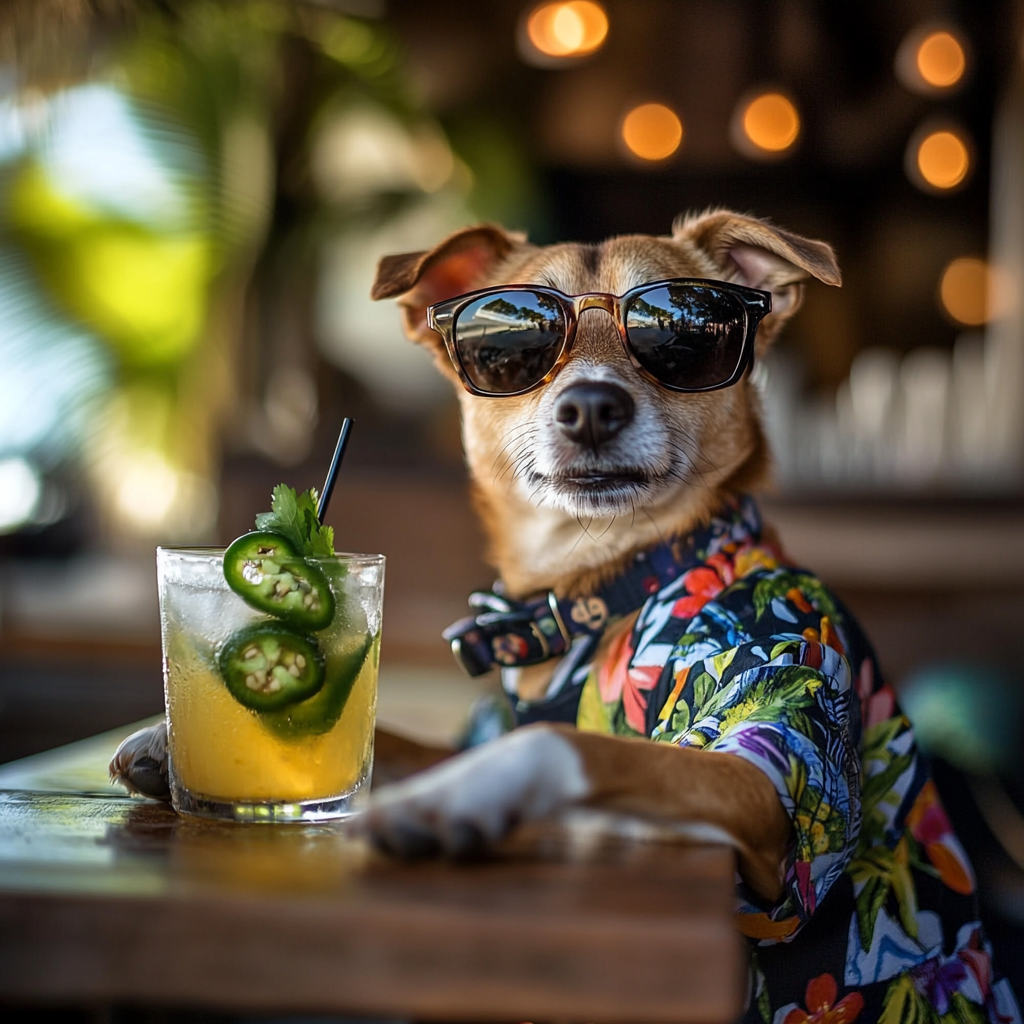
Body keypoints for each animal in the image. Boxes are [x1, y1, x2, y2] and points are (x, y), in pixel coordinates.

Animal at [110, 209, 1015, 1024]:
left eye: (682, 332)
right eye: (509, 344)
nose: (590, 406)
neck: (599, 587)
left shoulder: (772, 754)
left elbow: (565, 742)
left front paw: (454, 797)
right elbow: (390, 738)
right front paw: (167, 740)